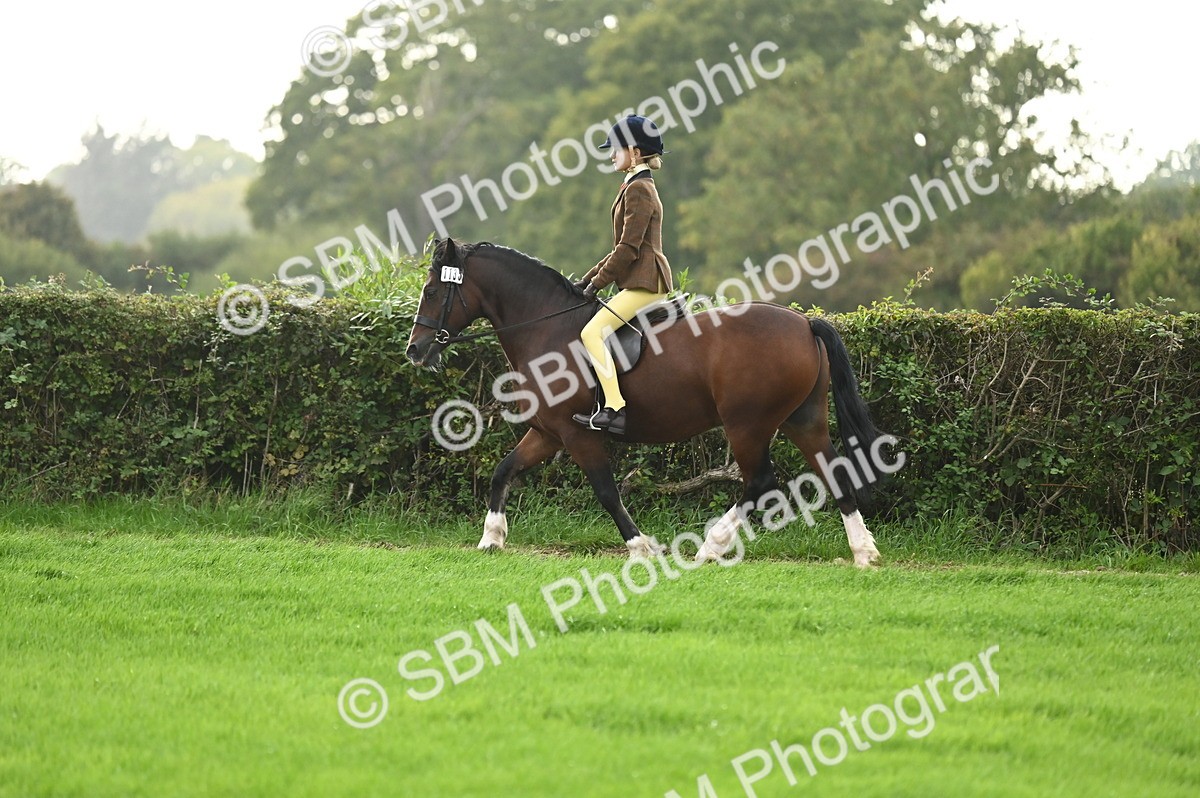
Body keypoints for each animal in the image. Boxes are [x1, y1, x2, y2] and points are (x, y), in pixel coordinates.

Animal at [405, 238, 883, 567]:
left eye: (432, 291)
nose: (414, 350)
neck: (544, 327)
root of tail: (803, 323)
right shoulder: (548, 433)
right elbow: (504, 471)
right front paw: (491, 538)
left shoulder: (578, 434)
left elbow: (605, 491)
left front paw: (641, 547)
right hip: (803, 419)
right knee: (834, 471)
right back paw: (864, 553)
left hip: (747, 425)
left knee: (760, 482)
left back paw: (710, 547)